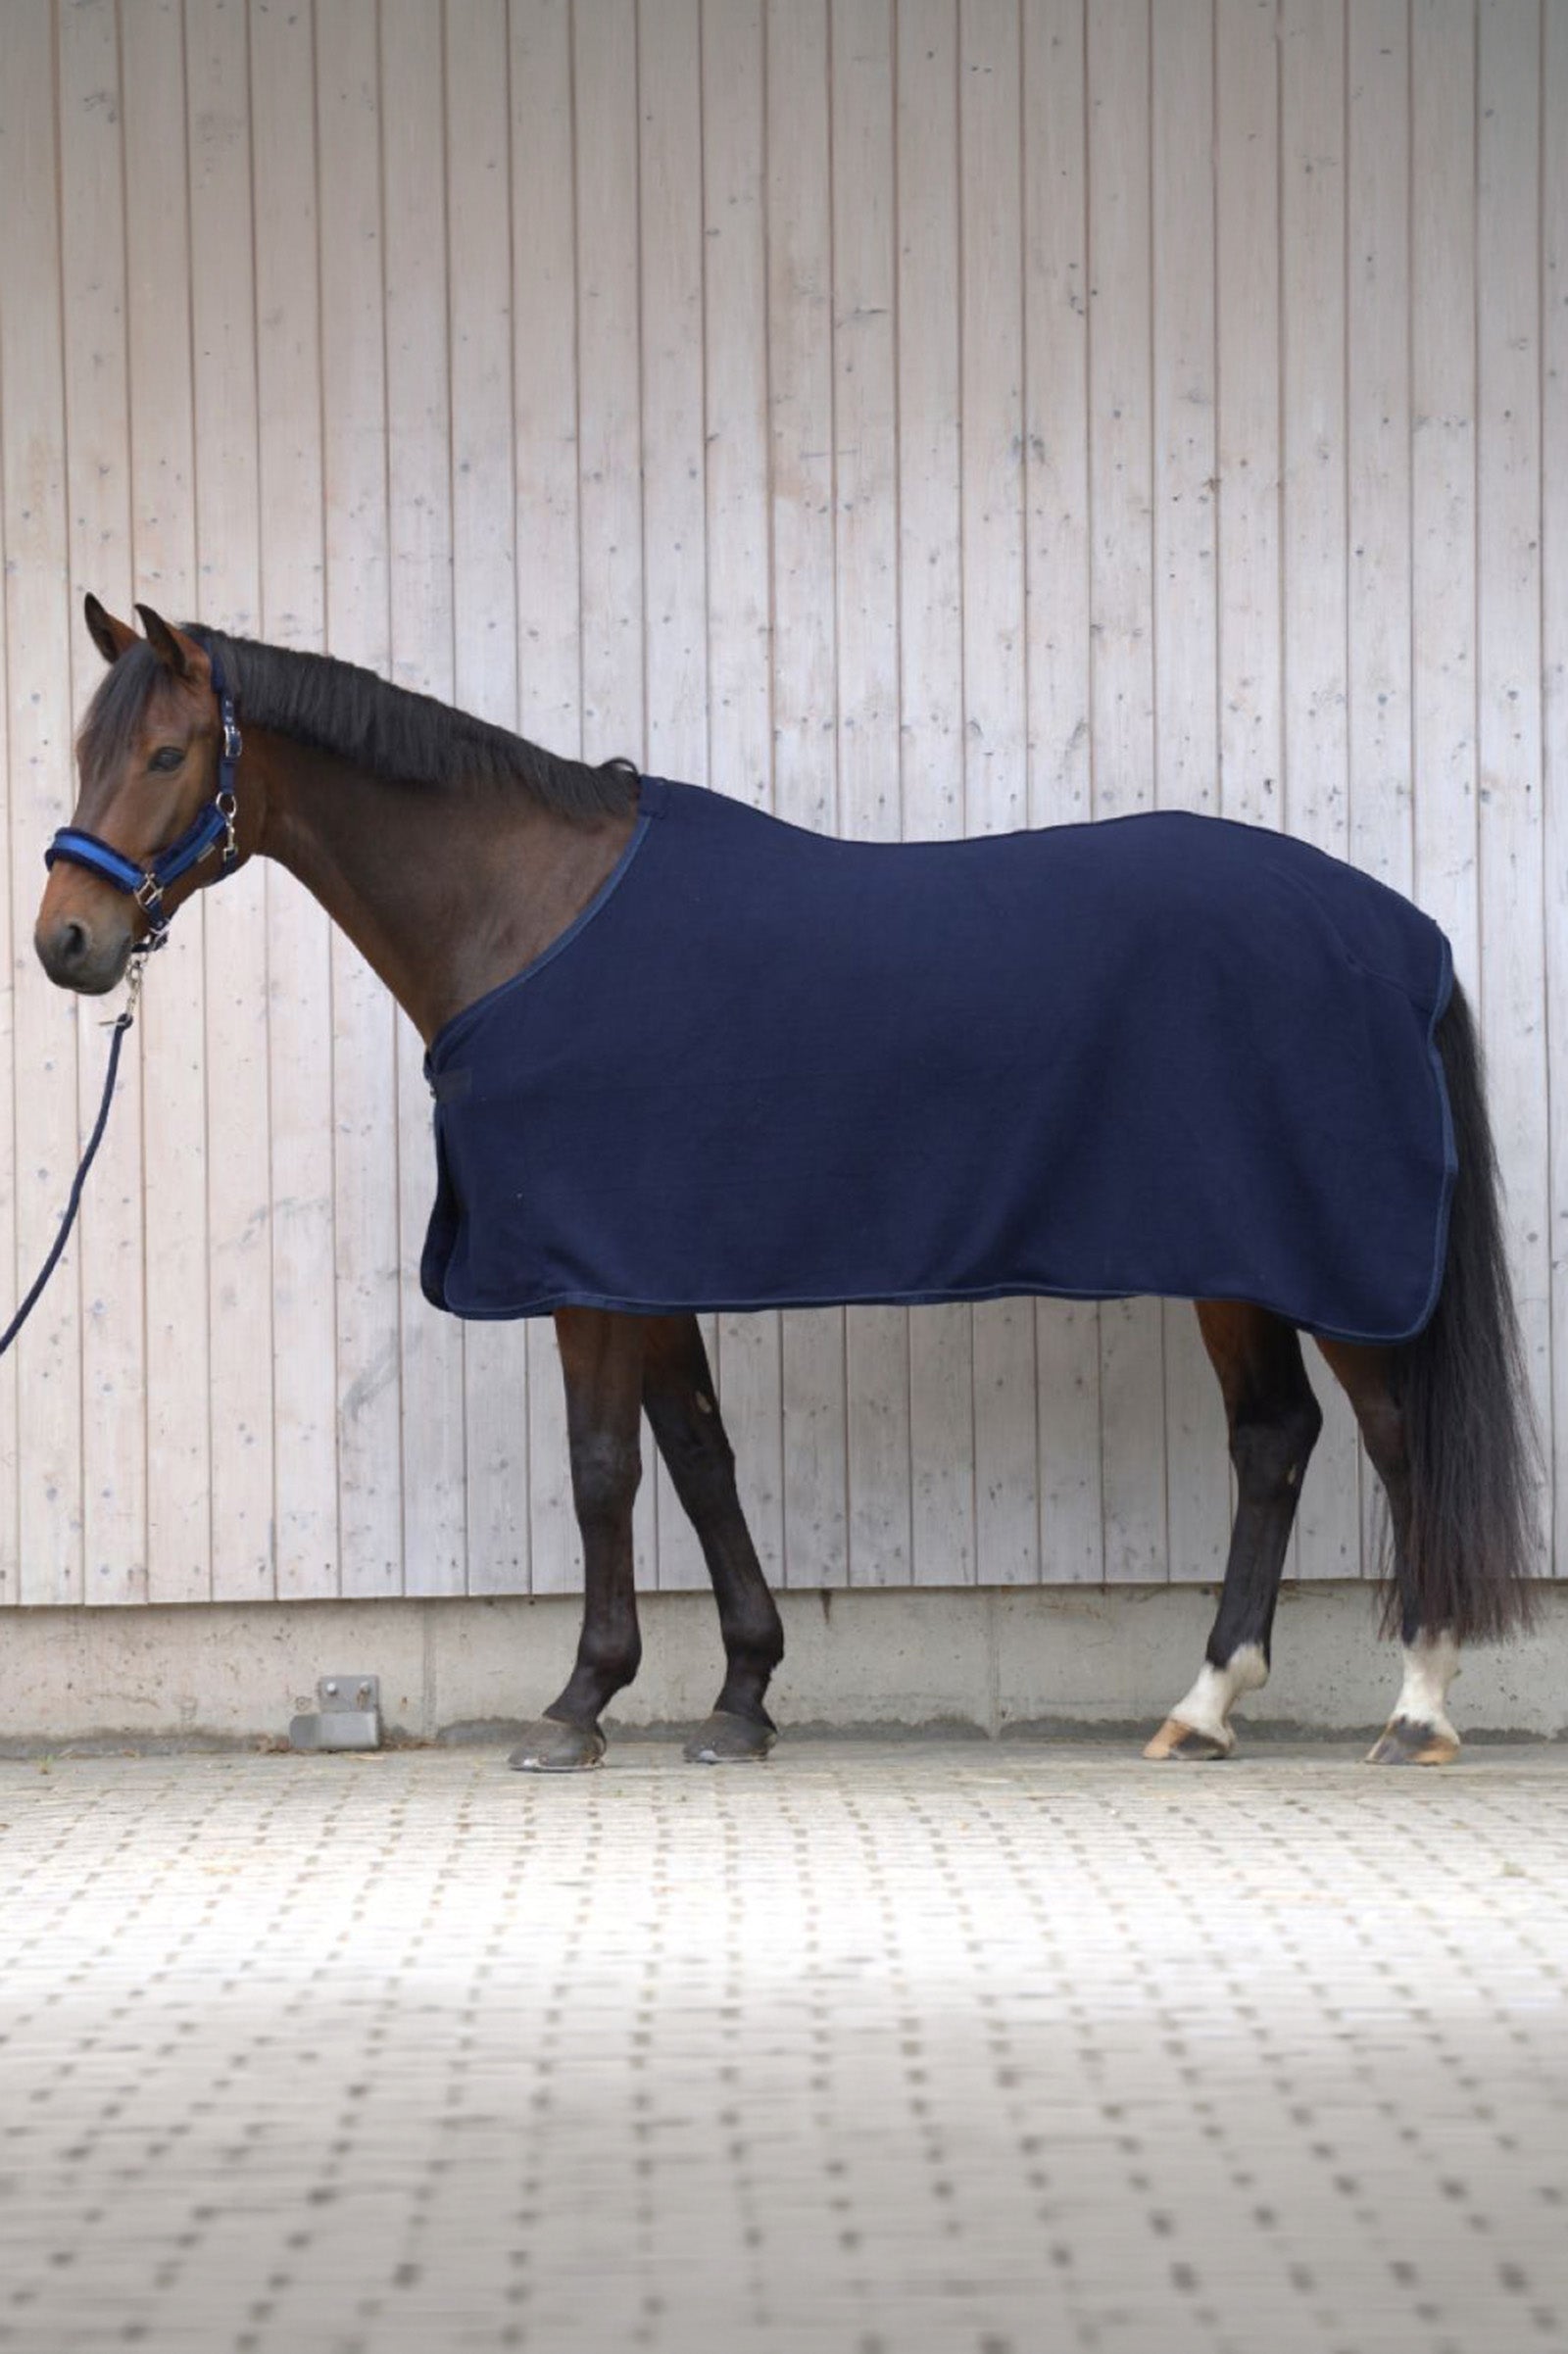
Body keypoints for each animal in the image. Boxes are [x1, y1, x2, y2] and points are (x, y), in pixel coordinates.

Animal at [34, 596, 1536, 1770]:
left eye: (166, 751)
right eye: (85, 750)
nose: (68, 940)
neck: (529, 913)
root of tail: (1398, 931)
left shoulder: (583, 1266)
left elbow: (601, 1468)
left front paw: (576, 1706)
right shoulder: (642, 1262)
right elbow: (699, 1458)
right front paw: (741, 1698)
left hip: (1320, 1265)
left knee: (1393, 1440)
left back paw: (1416, 1705)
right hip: (1238, 1263)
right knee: (1275, 1441)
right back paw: (1207, 1704)